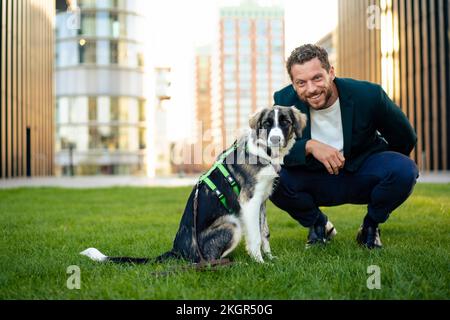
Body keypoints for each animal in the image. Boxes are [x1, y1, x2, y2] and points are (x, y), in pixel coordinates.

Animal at [80, 106, 306, 264]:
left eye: (285, 122)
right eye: (267, 123)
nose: (275, 139)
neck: (263, 153)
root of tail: (177, 251)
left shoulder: (262, 201)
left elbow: (265, 233)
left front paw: (270, 258)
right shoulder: (249, 202)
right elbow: (256, 237)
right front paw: (260, 263)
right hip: (231, 224)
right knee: (206, 261)